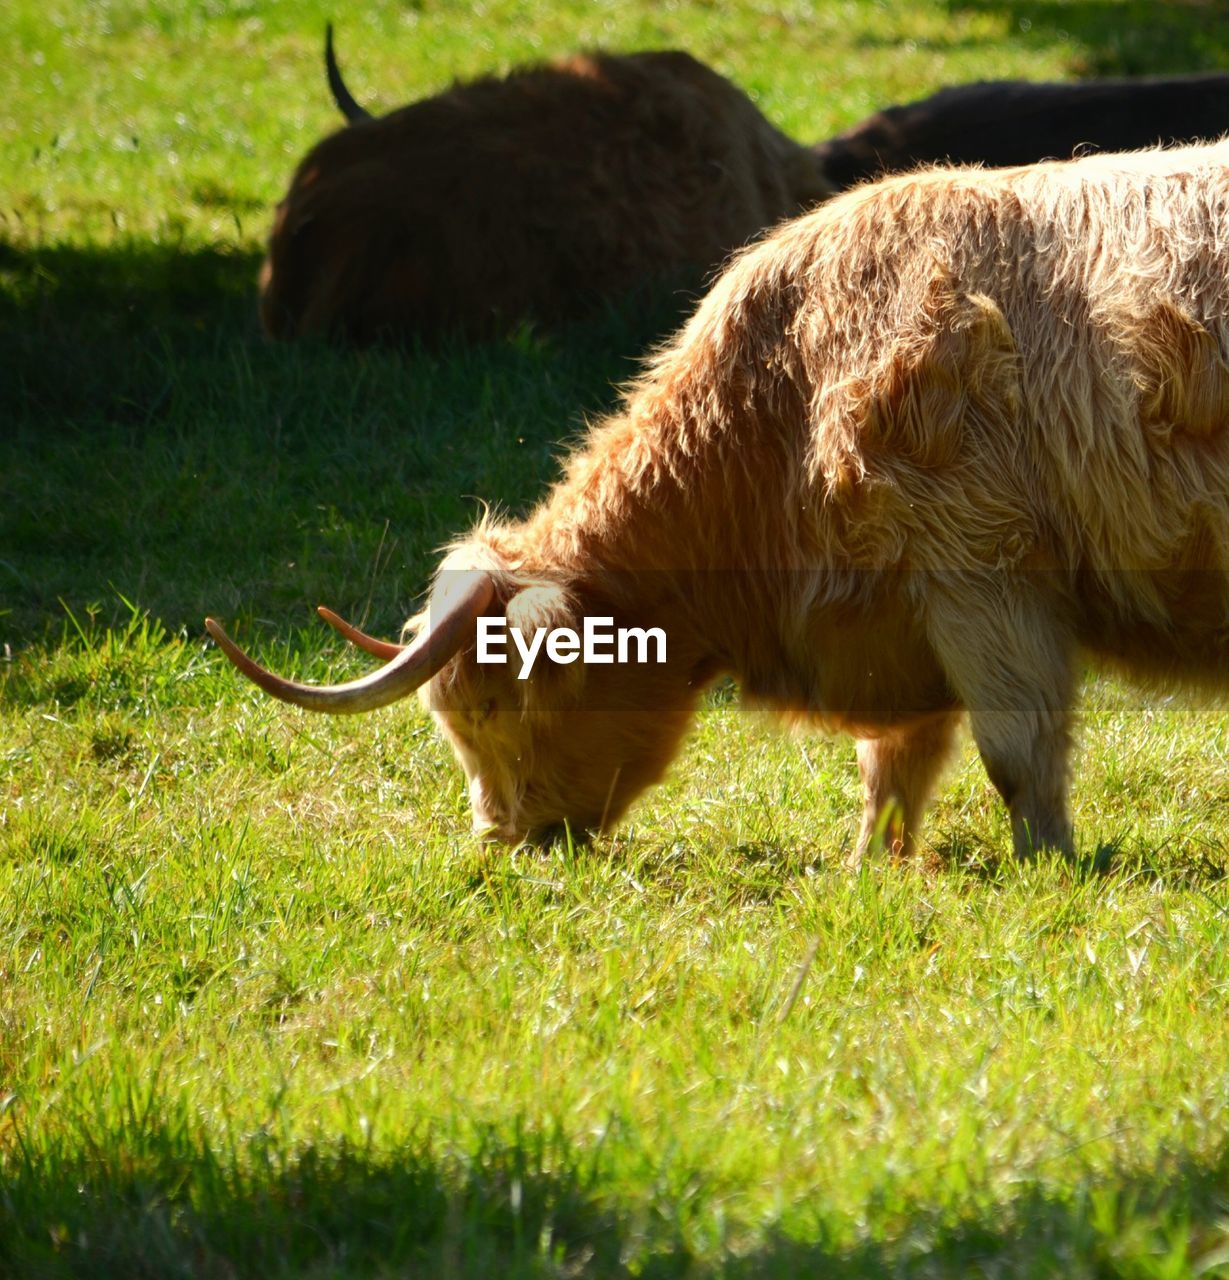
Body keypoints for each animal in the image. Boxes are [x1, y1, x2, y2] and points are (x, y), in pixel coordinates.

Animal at [211, 140, 1229, 860]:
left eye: (493, 708)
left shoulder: (981, 572)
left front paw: (1046, 864)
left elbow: (1016, 754)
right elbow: (894, 764)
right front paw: (871, 866)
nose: (501, 838)